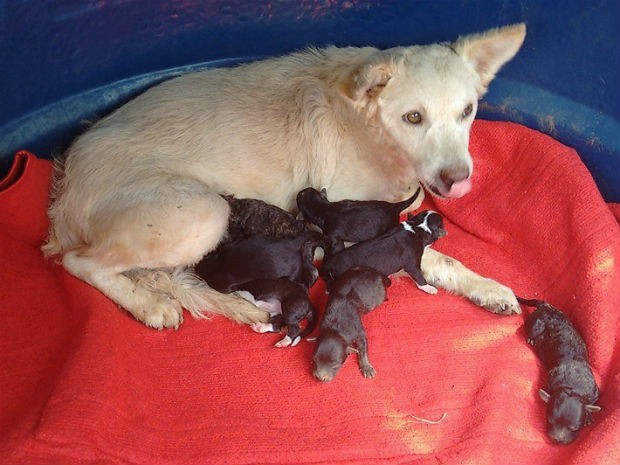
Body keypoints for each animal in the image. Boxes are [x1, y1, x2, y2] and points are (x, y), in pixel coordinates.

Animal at [520, 298, 600, 442]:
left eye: (574, 428)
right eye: (550, 420)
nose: (557, 439)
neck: (573, 388)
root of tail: (546, 306)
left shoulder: (595, 391)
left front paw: (588, 416)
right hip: (535, 324)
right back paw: (531, 339)